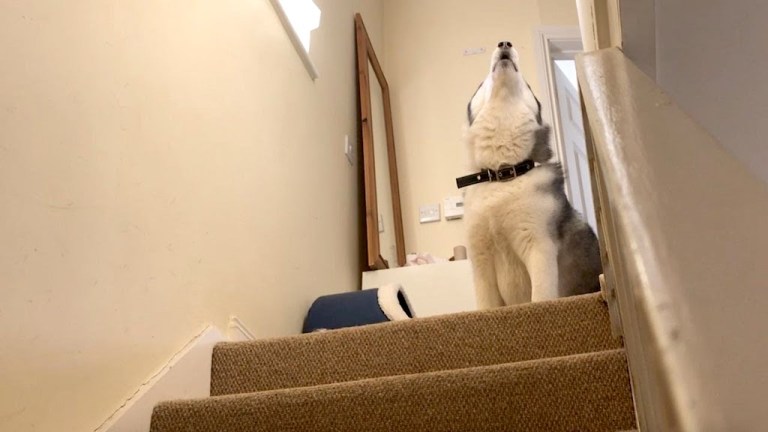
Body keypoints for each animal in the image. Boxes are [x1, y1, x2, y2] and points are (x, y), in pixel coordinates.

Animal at [462, 38, 600, 306]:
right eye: (481, 84)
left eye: (526, 84)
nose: (504, 43)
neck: (503, 174)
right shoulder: (481, 263)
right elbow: (486, 306)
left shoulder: (539, 247)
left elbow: (540, 298)